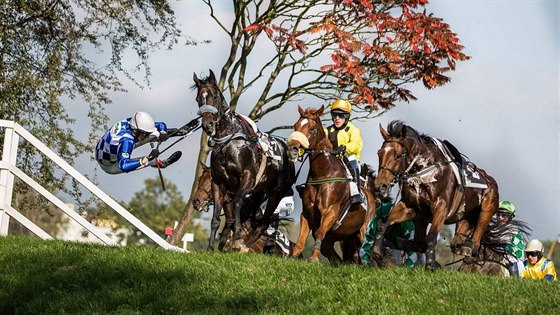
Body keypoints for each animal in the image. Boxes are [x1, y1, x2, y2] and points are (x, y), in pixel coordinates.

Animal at [192, 69, 298, 252]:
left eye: (214, 95)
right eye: (199, 98)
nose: (208, 124)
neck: (228, 142)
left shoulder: (247, 178)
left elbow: (237, 202)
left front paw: (237, 237)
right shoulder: (218, 183)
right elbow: (215, 219)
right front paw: (210, 248)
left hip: (276, 194)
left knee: (263, 223)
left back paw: (244, 246)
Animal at [288, 106, 376, 264]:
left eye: (311, 128)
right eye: (295, 126)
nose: (292, 148)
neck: (323, 174)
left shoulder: (331, 212)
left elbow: (319, 232)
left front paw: (314, 258)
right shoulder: (307, 213)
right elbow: (302, 237)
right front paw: (294, 255)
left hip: (363, 231)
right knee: (336, 254)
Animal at [372, 121, 498, 272]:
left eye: (398, 155)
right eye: (379, 153)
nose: (380, 186)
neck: (423, 170)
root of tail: (491, 180)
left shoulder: (441, 208)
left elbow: (432, 237)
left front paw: (431, 265)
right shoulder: (409, 207)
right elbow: (383, 224)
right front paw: (378, 254)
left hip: (486, 210)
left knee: (475, 244)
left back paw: (468, 254)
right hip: (458, 219)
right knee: (426, 244)